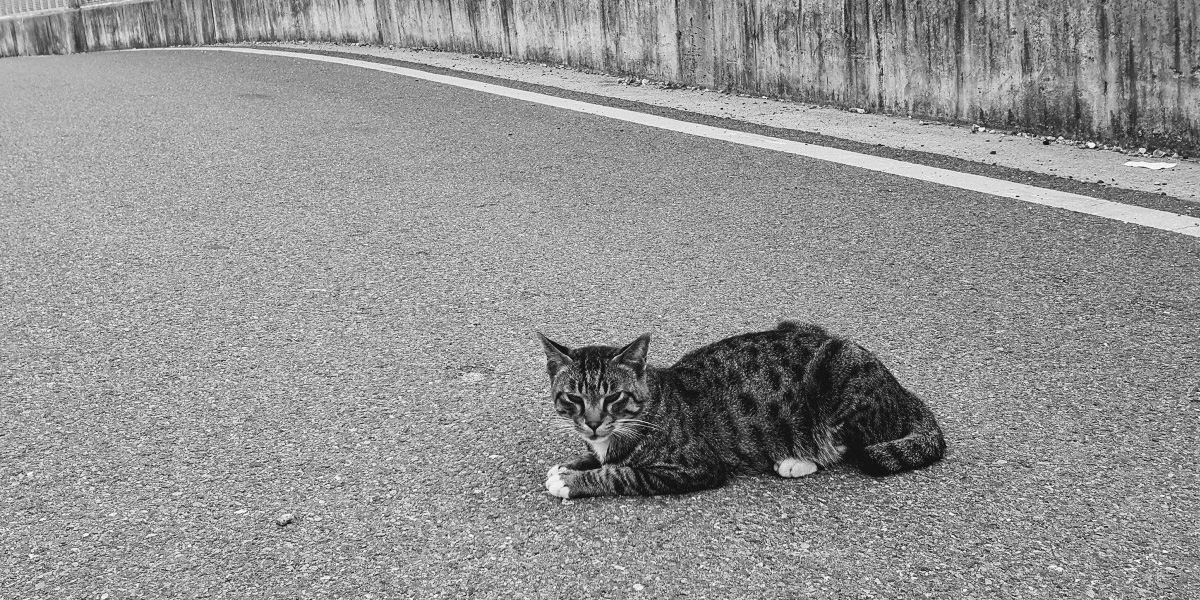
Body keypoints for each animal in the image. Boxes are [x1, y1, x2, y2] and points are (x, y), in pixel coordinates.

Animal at [542, 321, 945, 499]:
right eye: (574, 399)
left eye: (614, 398)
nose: (594, 424)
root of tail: (900, 389)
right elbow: (599, 457)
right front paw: (572, 463)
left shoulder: (697, 466)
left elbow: (621, 473)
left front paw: (574, 480)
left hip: (837, 373)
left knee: (845, 446)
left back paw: (799, 459)